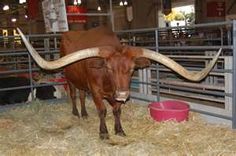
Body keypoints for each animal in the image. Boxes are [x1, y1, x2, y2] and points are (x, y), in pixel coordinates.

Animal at [17, 26, 221, 140]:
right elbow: (102, 111)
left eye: (132, 69)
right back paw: (75, 113)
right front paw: (104, 133)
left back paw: (84, 113)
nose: (123, 94)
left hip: (82, 82)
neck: (109, 84)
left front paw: (119, 130)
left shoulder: (113, 95)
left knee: (82, 96)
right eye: (108, 68)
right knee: (74, 95)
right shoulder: (96, 91)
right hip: (69, 77)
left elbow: (116, 111)